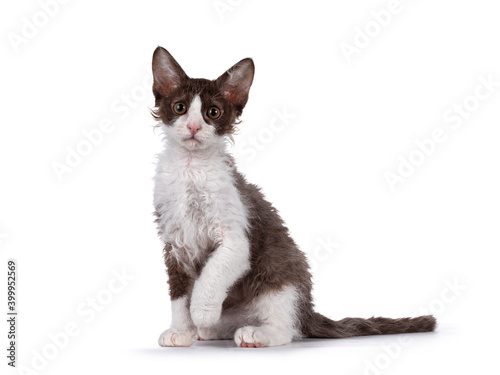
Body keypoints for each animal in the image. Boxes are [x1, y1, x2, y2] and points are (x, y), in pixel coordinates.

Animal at [150, 47, 436, 350]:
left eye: (212, 112)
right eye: (180, 108)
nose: (193, 127)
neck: (190, 169)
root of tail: (308, 311)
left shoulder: (237, 239)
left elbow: (213, 271)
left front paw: (202, 310)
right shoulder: (174, 242)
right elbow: (178, 292)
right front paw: (182, 331)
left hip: (281, 277)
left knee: (286, 328)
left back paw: (254, 333)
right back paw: (212, 329)